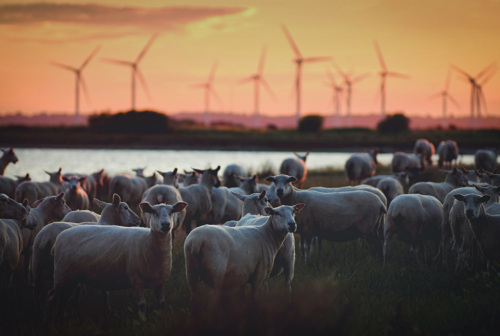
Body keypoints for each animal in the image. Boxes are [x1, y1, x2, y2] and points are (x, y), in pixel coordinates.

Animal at [47, 200, 187, 320]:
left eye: (172, 212)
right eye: (153, 212)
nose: (165, 225)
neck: (148, 240)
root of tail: (59, 237)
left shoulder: (160, 282)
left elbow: (161, 303)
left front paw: (161, 317)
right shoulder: (136, 280)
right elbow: (142, 304)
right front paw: (142, 321)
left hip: (71, 278)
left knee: (63, 297)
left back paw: (62, 314)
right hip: (61, 275)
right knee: (51, 297)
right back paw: (51, 317)